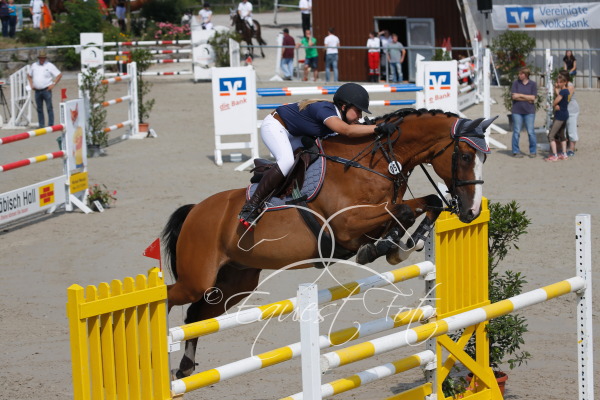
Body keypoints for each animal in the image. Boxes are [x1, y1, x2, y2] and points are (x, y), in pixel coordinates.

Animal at [162, 108, 496, 378]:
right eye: (465, 156)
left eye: (485, 157)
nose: (471, 212)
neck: (379, 160)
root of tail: (194, 210)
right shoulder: (346, 224)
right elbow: (399, 213)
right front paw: (383, 248)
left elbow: (425, 204)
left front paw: (403, 245)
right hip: (198, 279)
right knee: (169, 298)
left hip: (234, 284)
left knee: (195, 316)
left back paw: (185, 367)